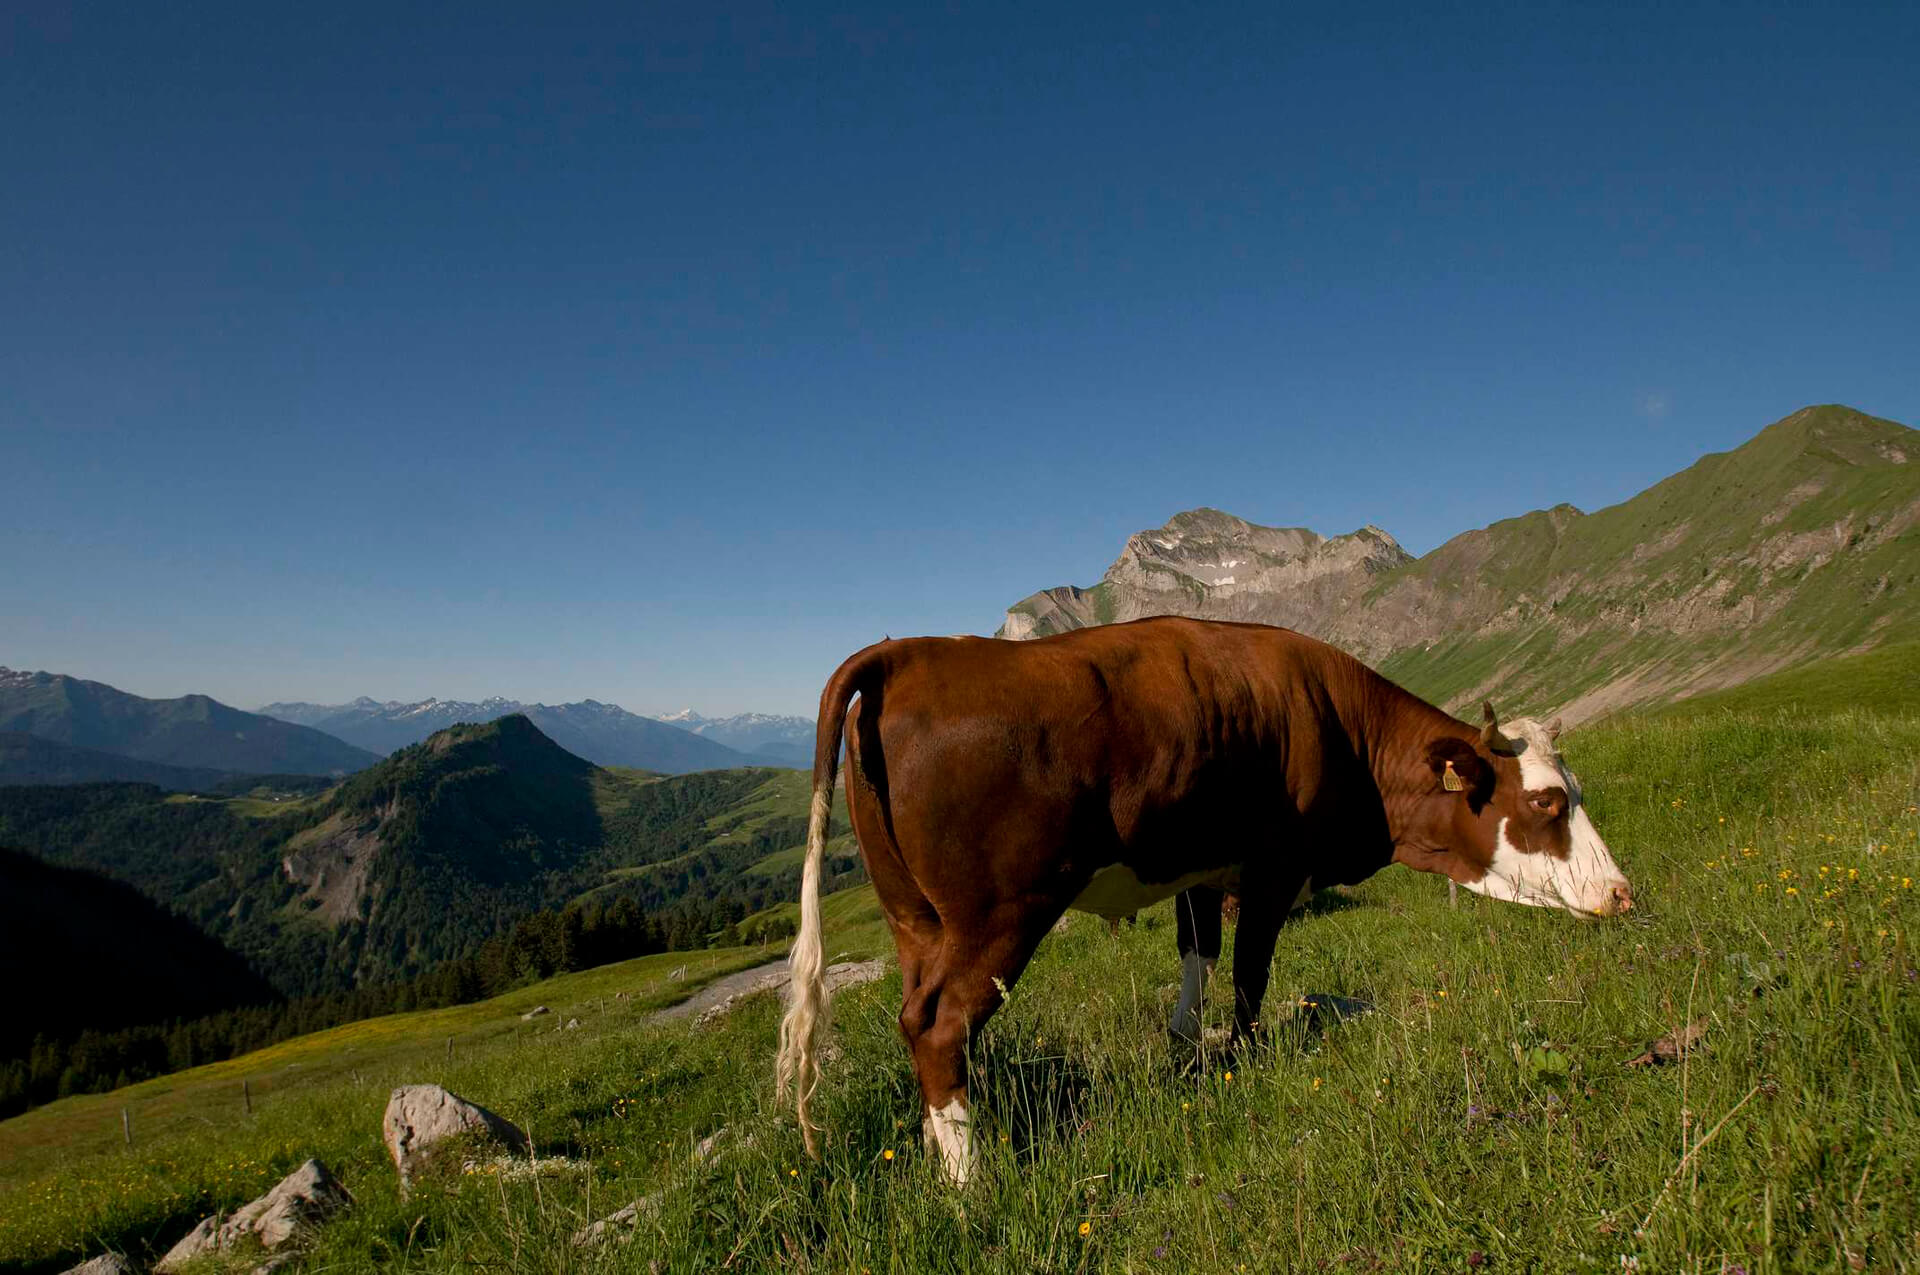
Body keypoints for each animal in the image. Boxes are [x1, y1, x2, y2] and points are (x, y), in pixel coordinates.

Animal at [771, 618, 1628, 1182]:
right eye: (1547, 801)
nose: (1620, 893)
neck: (1342, 729)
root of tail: (906, 651)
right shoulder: (1274, 868)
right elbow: (1249, 975)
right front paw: (1243, 1060)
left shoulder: (1204, 870)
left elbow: (1200, 955)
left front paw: (1187, 1043)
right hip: (1000, 915)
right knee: (940, 1026)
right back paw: (968, 1180)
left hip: (916, 918)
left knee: (911, 1012)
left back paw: (929, 1145)